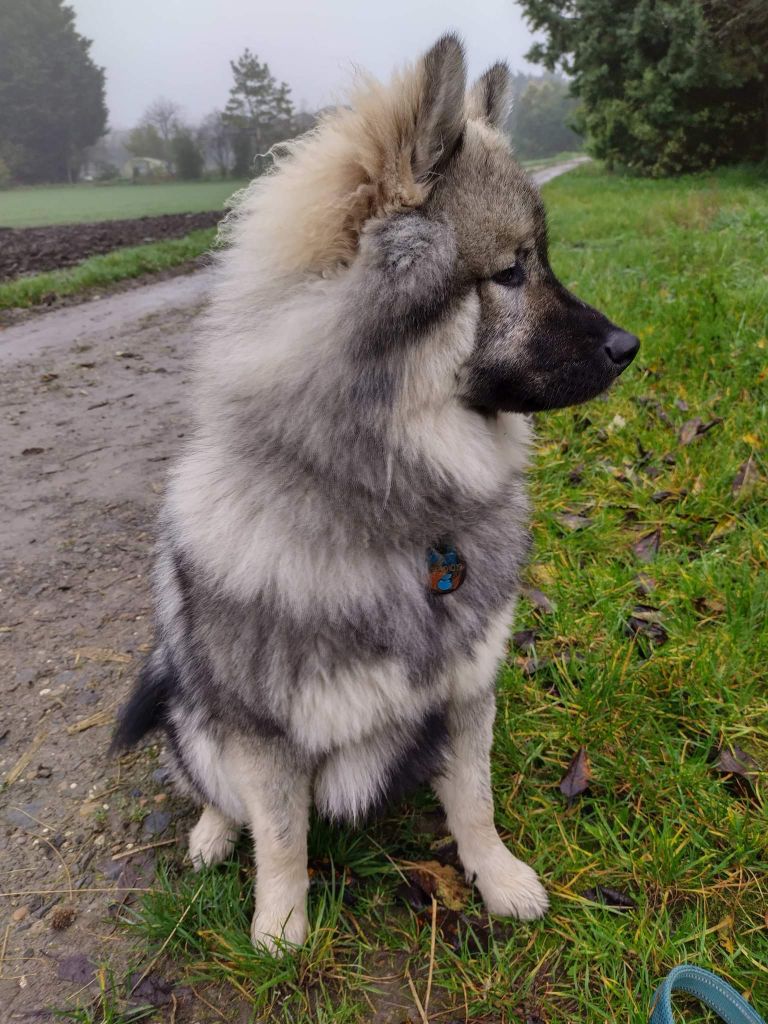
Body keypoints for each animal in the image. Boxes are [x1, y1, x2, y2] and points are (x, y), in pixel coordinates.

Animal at [114, 36, 638, 954]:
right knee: (206, 782)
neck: (397, 507)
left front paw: (498, 877)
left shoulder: (465, 695)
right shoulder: (266, 735)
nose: (628, 345)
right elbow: (281, 836)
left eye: (541, 261)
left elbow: (476, 802)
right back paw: (212, 834)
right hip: (197, 716)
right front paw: (280, 929)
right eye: (510, 271)